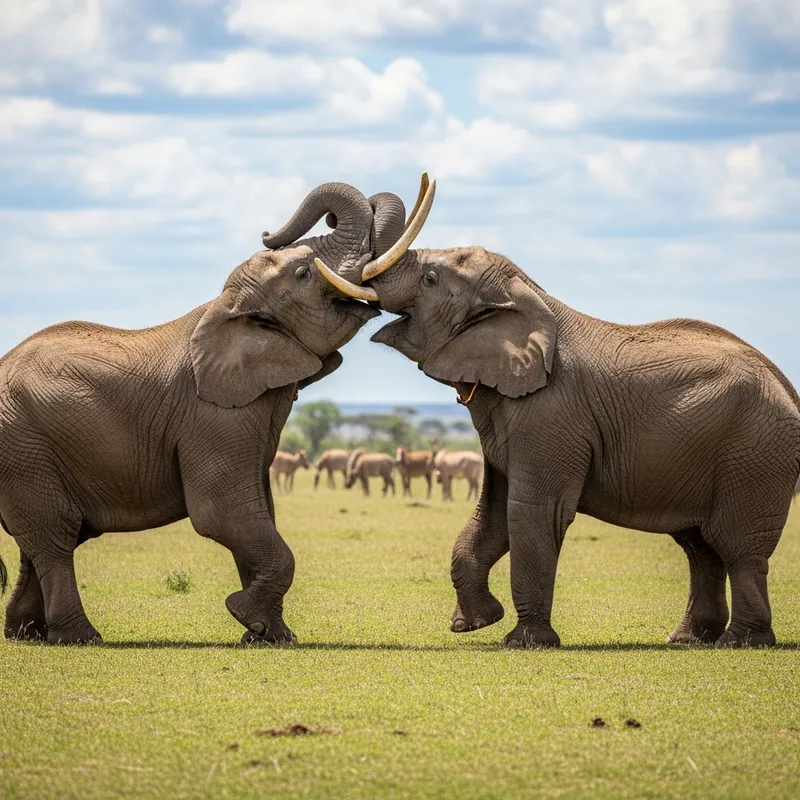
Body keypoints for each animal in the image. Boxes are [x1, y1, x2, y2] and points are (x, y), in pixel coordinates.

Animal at [0, 179, 434, 645]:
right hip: (24, 447)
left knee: (42, 542)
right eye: (304, 273)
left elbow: (258, 512)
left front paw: (270, 637)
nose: (267, 233)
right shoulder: (210, 414)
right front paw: (245, 615)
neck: (226, 307)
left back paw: (27, 634)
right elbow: (225, 513)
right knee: (55, 537)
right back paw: (80, 638)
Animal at [319, 183, 800, 649]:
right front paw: (473, 624)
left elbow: (532, 511)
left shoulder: (551, 415)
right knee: (699, 546)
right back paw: (688, 639)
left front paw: (522, 642)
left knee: (737, 546)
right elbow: (493, 512)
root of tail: (787, 390)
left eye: (430, 279)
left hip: (754, 453)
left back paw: (742, 642)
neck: (529, 295)